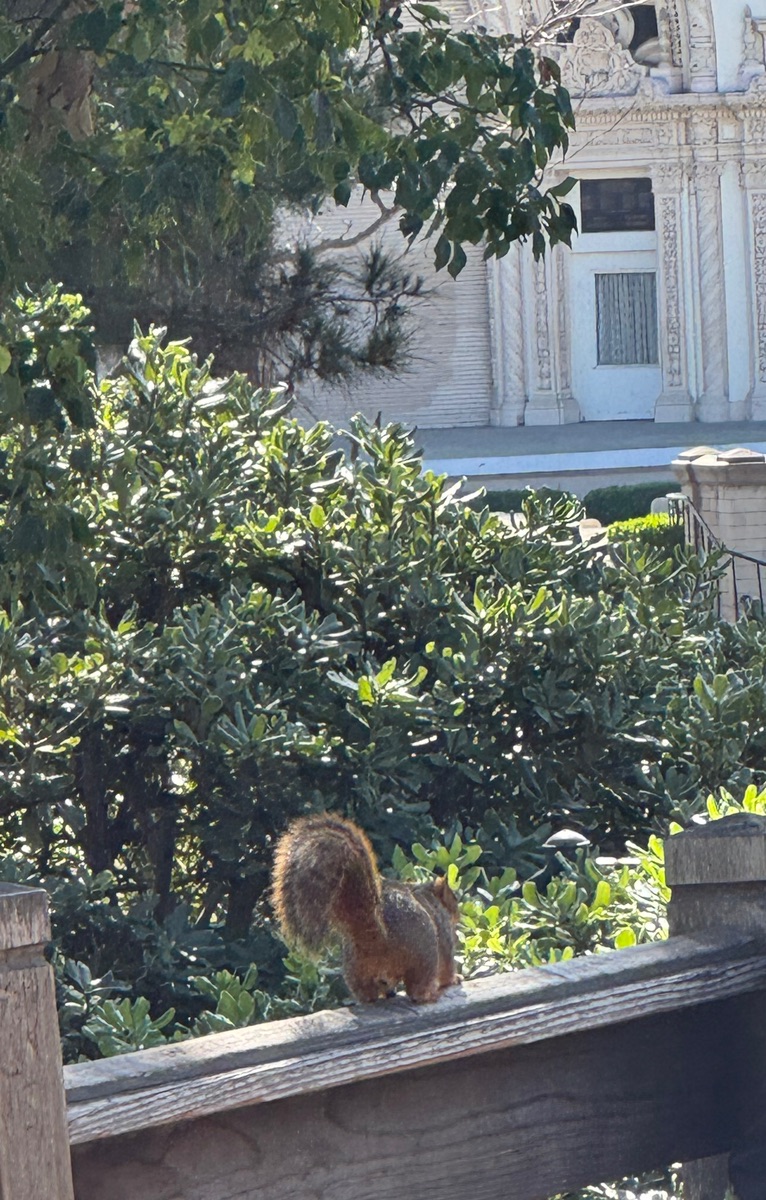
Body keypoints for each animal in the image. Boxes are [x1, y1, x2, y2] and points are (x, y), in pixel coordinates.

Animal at [271, 812, 460, 1004]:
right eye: (454, 898)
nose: (458, 915)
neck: (428, 894)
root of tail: (376, 936)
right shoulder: (443, 928)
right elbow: (447, 963)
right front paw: (454, 979)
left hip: (356, 966)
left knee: (366, 992)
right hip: (424, 955)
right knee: (418, 989)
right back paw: (431, 995)